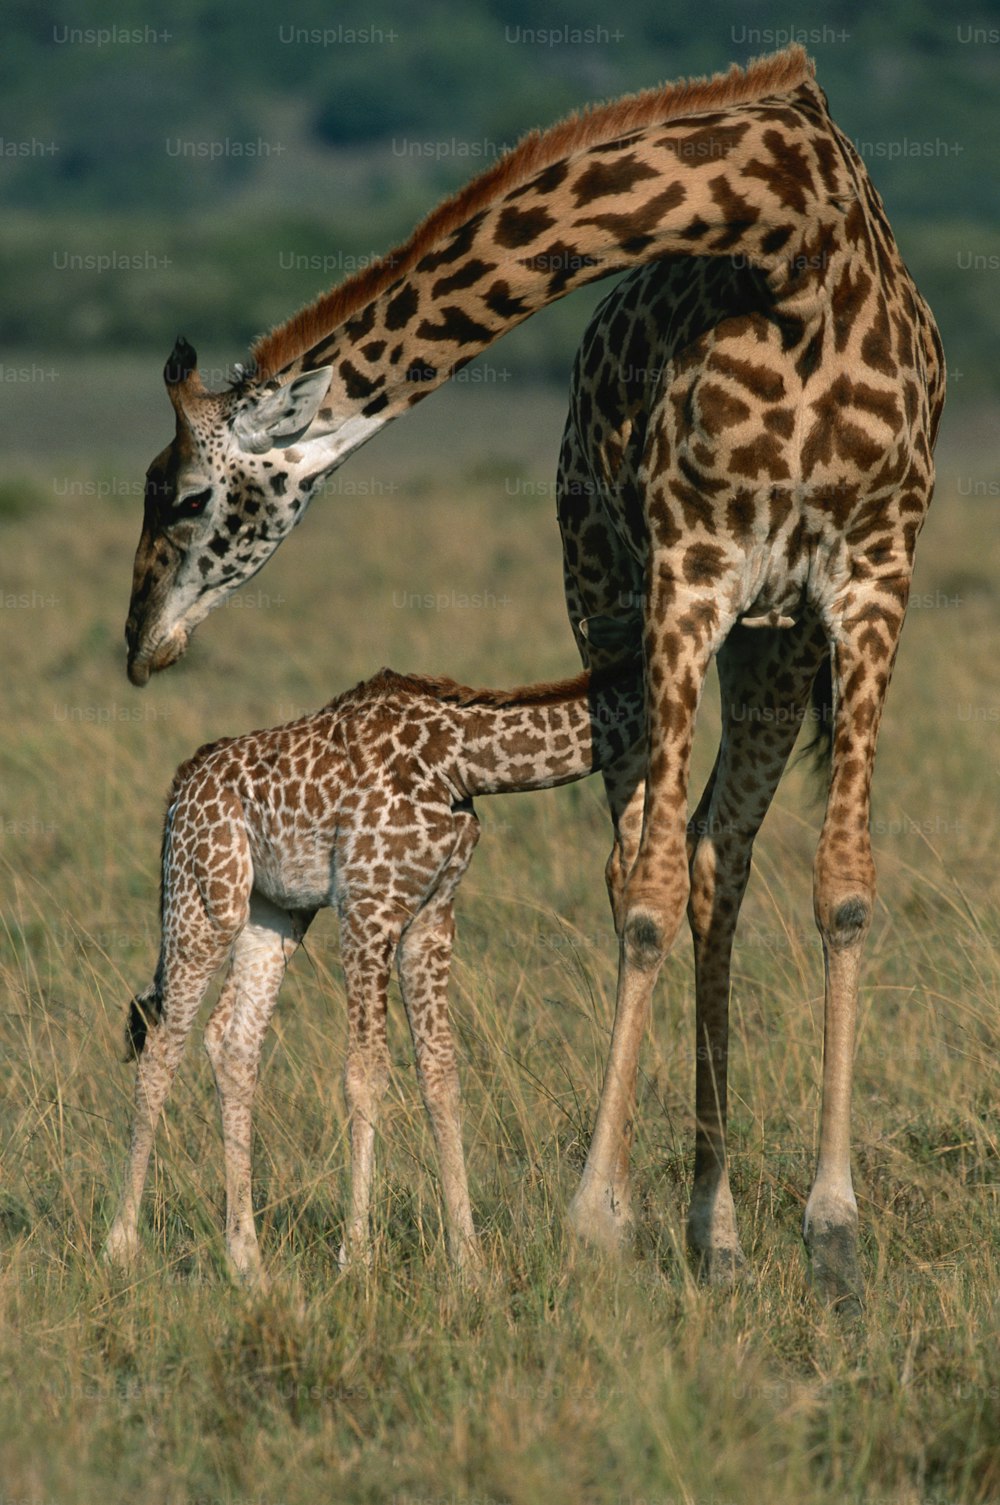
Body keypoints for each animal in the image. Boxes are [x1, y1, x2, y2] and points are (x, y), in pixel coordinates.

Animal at [103, 659, 641, 1282]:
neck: (458, 758)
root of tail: (180, 785)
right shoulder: (367, 906)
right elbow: (364, 1072)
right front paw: (356, 1256)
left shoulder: (432, 915)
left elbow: (440, 1072)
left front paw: (469, 1260)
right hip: (204, 900)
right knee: (162, 1046)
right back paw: (121, 1244)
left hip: (275, 912)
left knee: (232, 1042)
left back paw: (248, 1260)